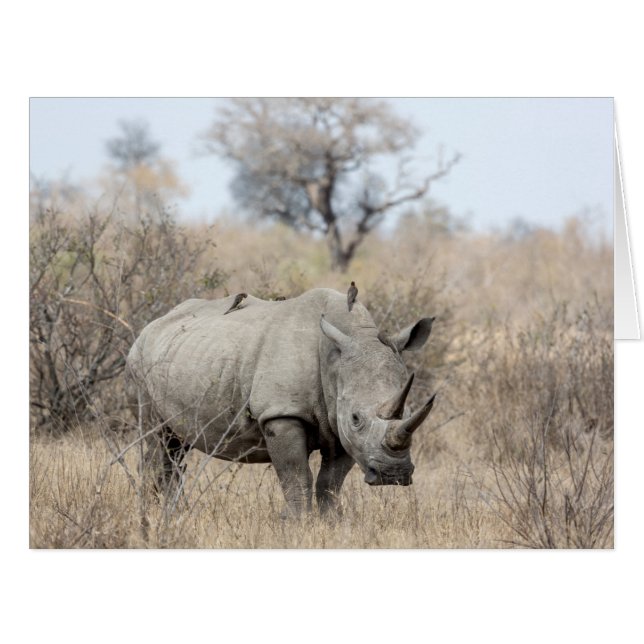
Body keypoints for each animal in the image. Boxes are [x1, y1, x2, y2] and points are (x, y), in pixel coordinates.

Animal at [126, 288, 436, 515]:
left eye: (409, 411)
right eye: (356, 418)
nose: (392, 475)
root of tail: (152, 324)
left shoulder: (340, 425)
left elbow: (330, 484)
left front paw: (331, 524)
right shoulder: (281, 413)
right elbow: (296, 478)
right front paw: (300, 524)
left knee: (176, 448)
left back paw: (170, 515)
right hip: (139, 364)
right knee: (158, 440)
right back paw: (154, 516)